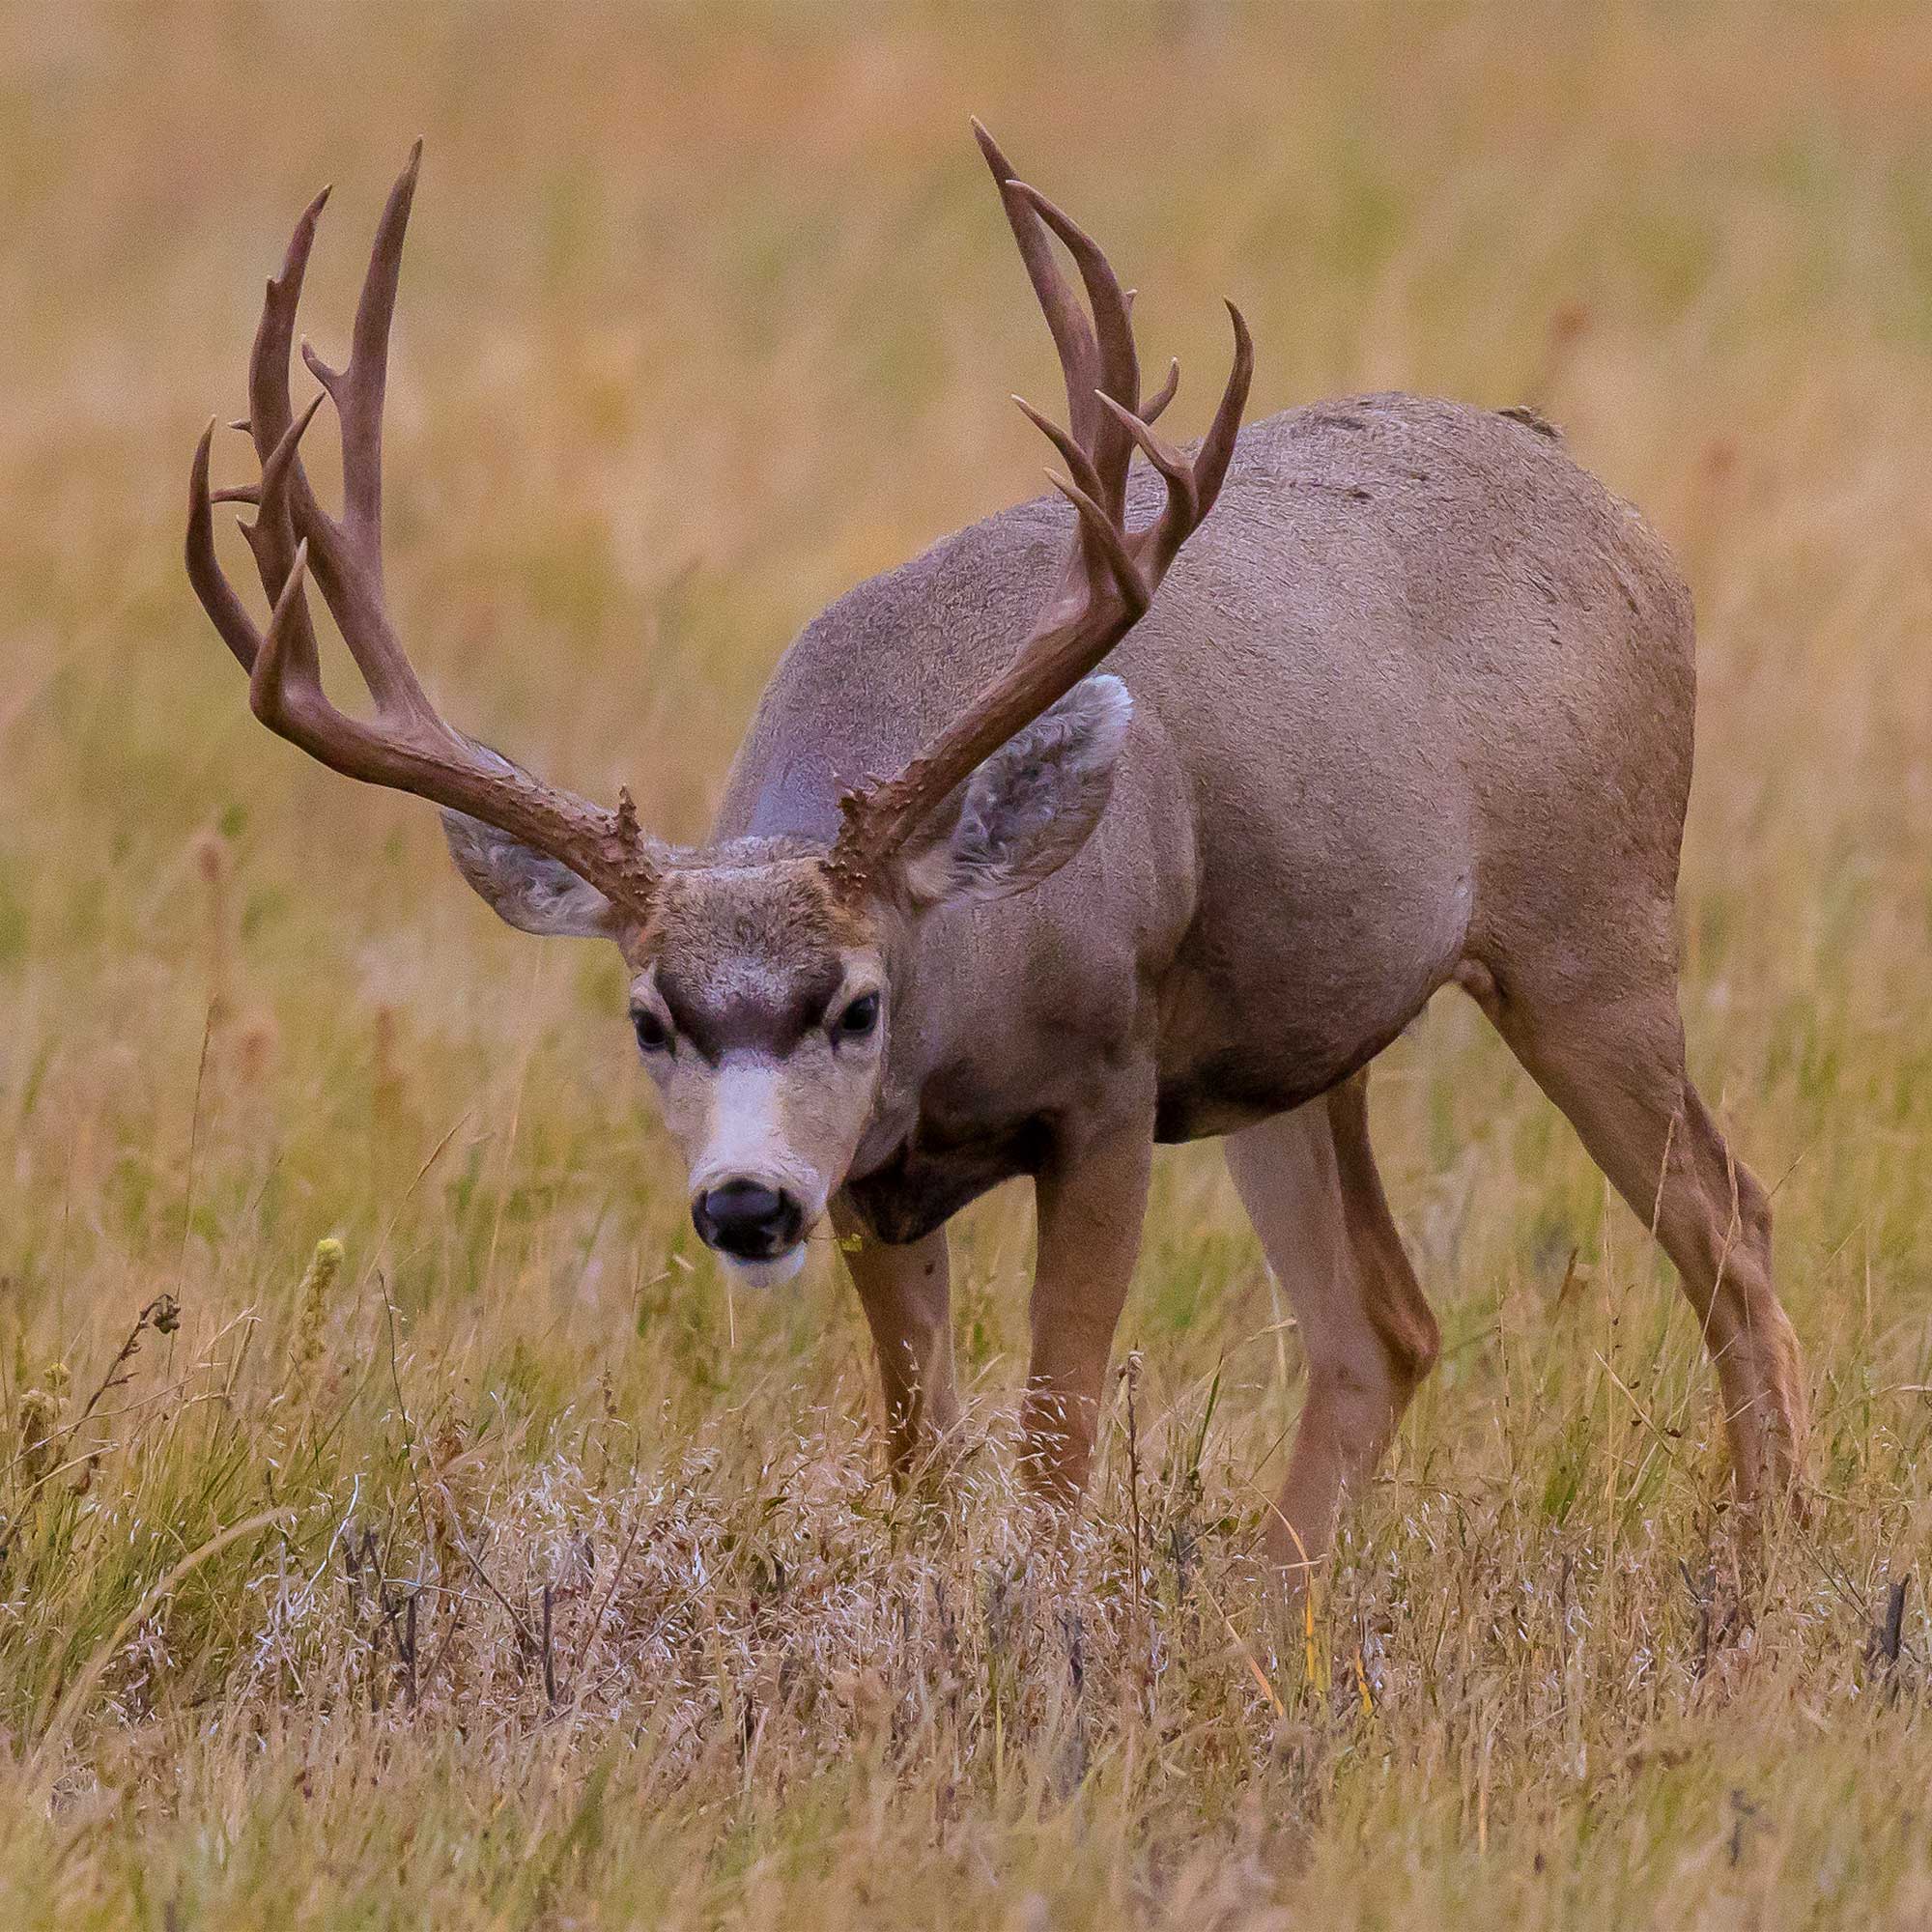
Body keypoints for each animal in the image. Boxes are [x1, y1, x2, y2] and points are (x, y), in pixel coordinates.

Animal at [188, 128, 1801, 1561]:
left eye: (858, 1002)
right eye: (648, 1016)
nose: (745, 1203)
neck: (964, 985)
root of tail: (1616, 510)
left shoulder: (1107, 1088)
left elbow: (1056, 1446)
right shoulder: (876, 1184)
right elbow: (924, 1462)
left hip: (1592, 928)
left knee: (1731, 1229)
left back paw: (1761, 1564)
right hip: (1292, 1048)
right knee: (1381, 1322)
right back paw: (1265, 1620)